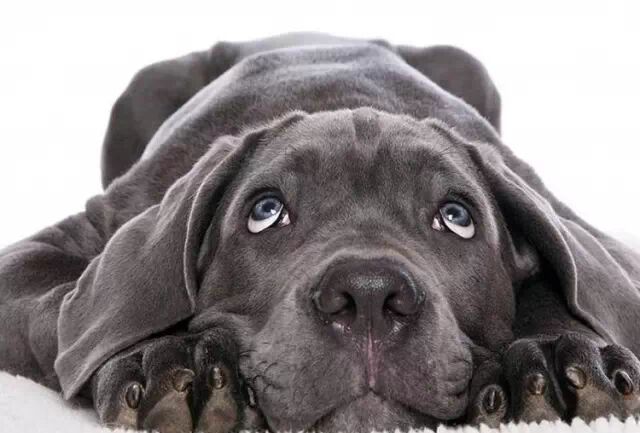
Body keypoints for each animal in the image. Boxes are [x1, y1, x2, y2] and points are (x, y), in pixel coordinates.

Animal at [1, 33, 640, 433]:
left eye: (458, 218)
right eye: (265, 211)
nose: (370, 296)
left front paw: (557, 355)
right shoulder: (50, 250)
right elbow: (81, 309)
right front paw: (165, 357)